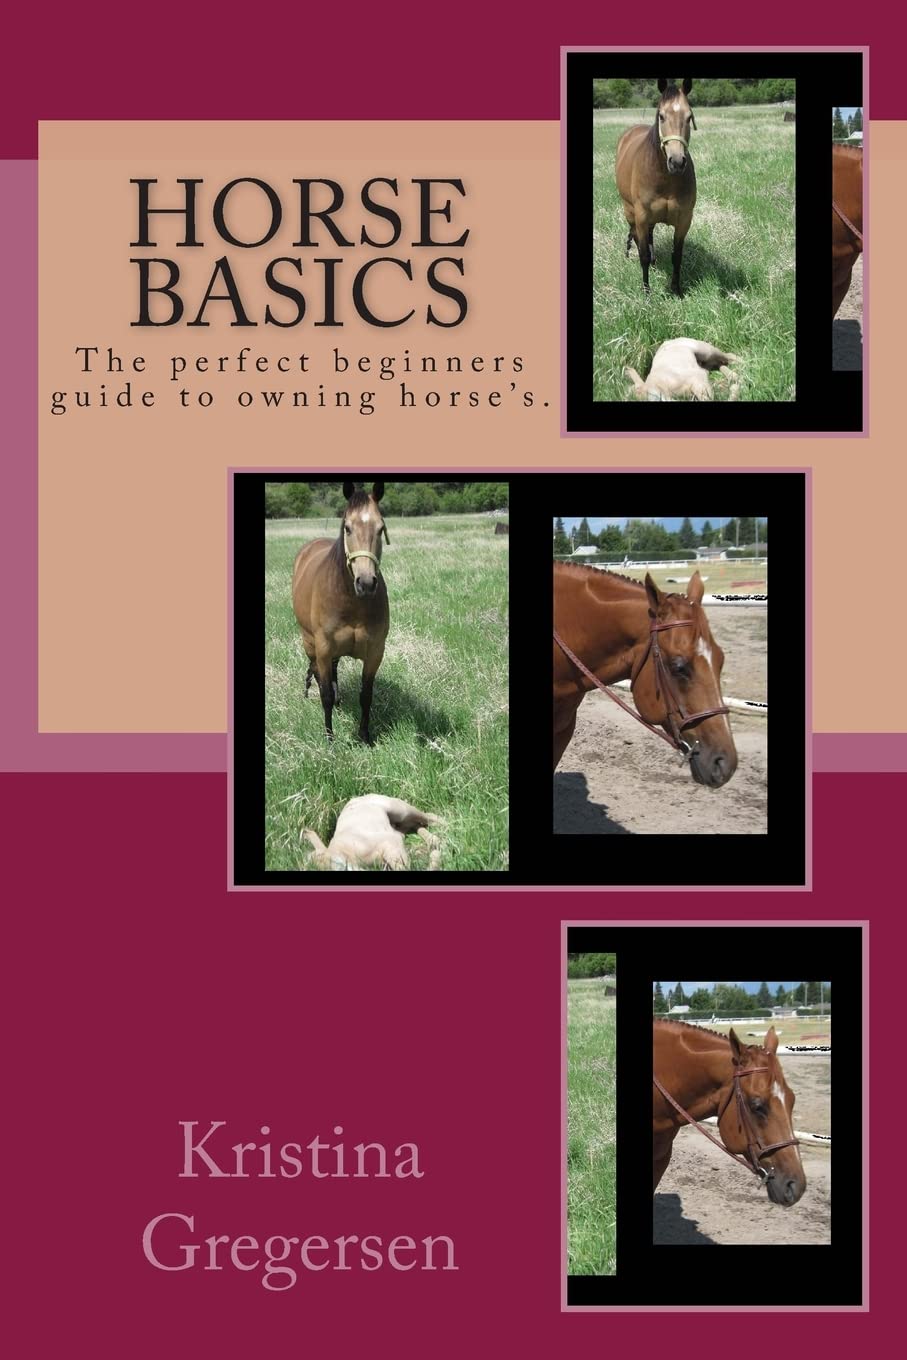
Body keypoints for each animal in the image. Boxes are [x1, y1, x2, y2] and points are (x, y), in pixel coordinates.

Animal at [292, 481, 390, 743]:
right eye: (347, 528)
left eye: (380, 528)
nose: (365, 583)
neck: (351, 602)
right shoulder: (324, 648)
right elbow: (324, 692)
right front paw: (329, 739)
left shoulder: (375, 651)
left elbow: (366, 695)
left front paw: (365, 736)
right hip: (310, 643)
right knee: (317, 674)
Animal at [615, 78, 697, 295]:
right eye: (661, 116)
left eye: (689, 117)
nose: (677, 162)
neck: (665, 179)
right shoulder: (642, 216)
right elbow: (643, 253)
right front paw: (646, 293)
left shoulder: (684, 220)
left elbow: (677, 256)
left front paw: (676, 290)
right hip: (630, 212)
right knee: (636, 237)